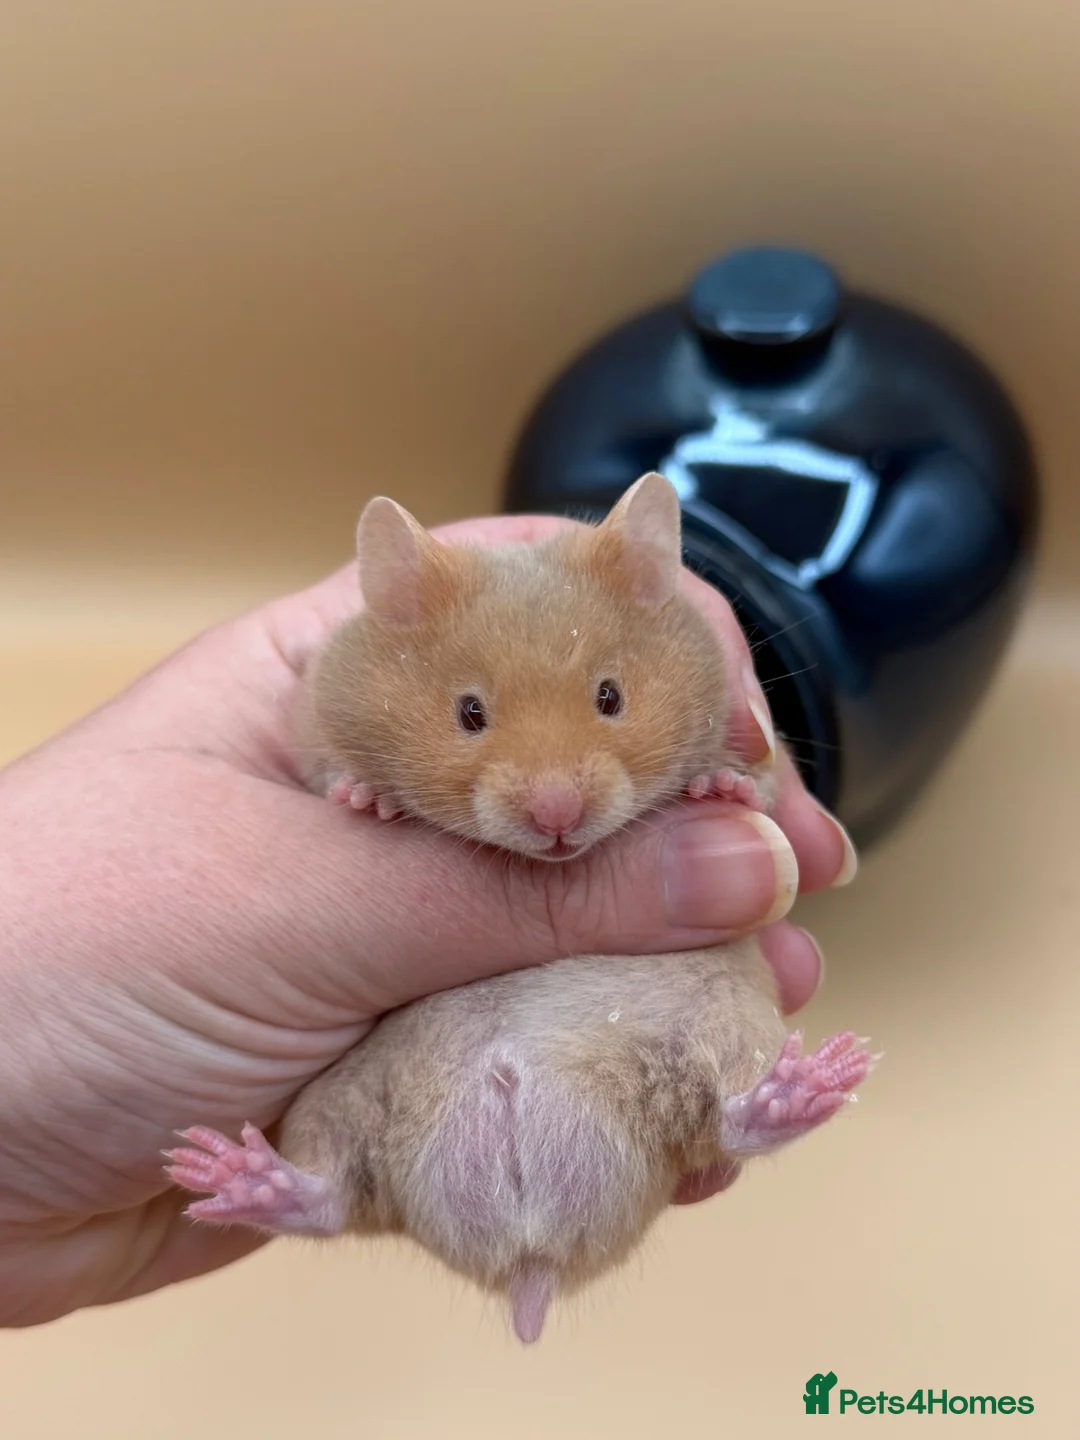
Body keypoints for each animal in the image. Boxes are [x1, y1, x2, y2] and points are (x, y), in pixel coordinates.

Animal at [167, 474, 871, 1344]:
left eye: (611, 696)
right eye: (470, 712)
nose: (558, 817)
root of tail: (527, 1256)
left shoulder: (761, 748)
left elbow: (762, 784)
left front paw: (719, 789)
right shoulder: (310, 732)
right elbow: (328, 773)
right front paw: (368, 800)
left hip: (721, 1022)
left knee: (732, 1115)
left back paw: (814, 1082)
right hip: (341, 1099)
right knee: (332, 1195)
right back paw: (221, 1171)